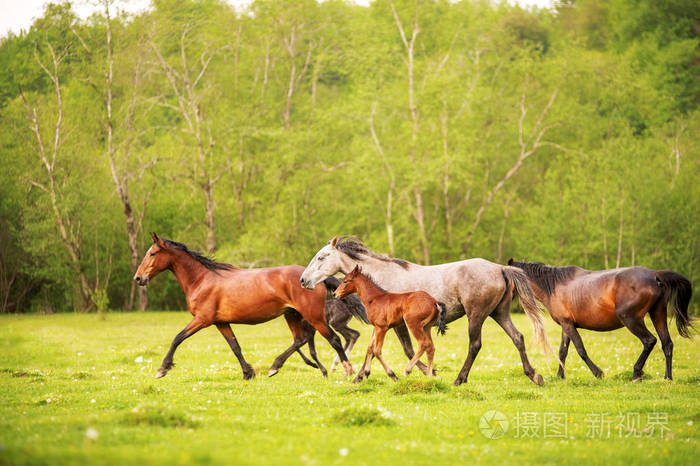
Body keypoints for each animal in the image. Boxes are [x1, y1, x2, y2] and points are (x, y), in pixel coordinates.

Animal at [133, 233, 355, 380]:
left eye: (152, 254)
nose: (138, 278)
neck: (201, 279)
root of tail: (311, 278)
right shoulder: (220, 322)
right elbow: (235, 347)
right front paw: (248, 373)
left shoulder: (202, 319)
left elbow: (177, 338)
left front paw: (162, 369)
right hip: (291, 314)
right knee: (300, 340)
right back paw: (275, 367)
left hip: (313, 316)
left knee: (334, 339)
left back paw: (348, 371)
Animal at [300, 236, 551, 386]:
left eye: (321, 257)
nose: (303, 280)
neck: (378, 282)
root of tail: (500, 268)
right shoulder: (381, 325)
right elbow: (372, 348)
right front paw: (360, 376)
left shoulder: (397, 324)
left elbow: (408, 349)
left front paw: (421, 372)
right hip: (499, 313)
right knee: (518, 338)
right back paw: (534, 375)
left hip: (476, 315)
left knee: (475, 345)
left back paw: (459, 379)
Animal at [508, 259, 694, 381]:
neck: (554, 286)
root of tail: (654, 275)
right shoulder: (566, 325)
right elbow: (563, 351)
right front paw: (560, 376)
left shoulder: (568, 325)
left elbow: (580, 349)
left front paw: (598, 373)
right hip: (658, 314)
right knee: (667, 343)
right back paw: (667, 377)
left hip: (631, 319)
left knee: (649, 341)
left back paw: (636, 372)